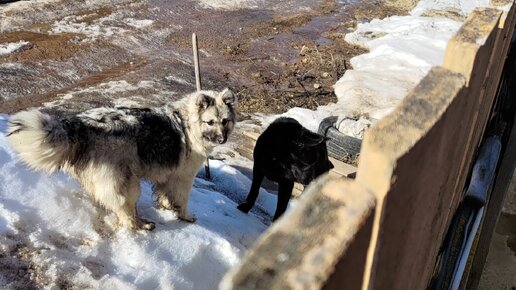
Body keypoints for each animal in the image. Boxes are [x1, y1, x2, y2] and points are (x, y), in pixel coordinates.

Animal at [7, 88, 237, 231]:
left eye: (225, 121)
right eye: (210, 122)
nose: (222, 139)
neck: (189, 124)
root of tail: (81, 122)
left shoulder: (167, 174)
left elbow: (165, 195)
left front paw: (166, 206)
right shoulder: (184, 177)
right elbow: (182, 200)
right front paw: (185, 216)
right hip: (127, 181)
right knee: (124, 210)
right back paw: (141, 224)